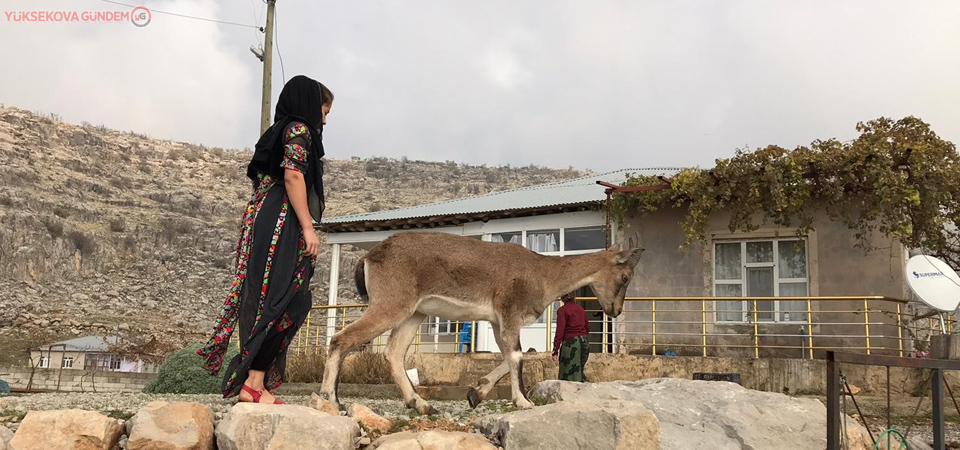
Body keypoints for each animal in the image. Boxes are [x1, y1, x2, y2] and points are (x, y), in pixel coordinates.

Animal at [318, 232, 640, 414]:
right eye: (624, 277)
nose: (615, 310)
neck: (542, 272)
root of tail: (370, 256)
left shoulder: (497, 320)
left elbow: (512, 356)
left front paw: (476, 393)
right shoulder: (509, 310)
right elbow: (517, 356)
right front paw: (523, 402)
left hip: (414, 313)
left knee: (394, 352)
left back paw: (422, 405)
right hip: (391, 303)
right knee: (341, 339)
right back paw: (332, 400)